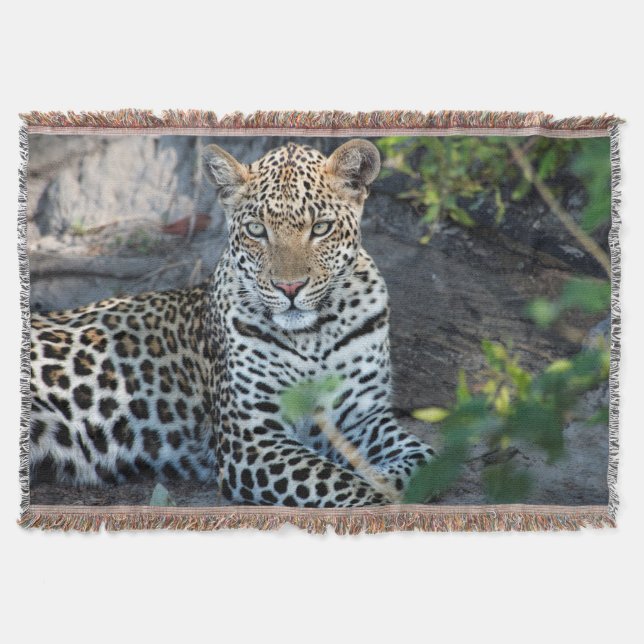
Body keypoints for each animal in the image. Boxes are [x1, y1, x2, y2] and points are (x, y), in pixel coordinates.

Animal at [28, 138, 435, 507]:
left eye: (321, 228)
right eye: (257, 230)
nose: (289, 287)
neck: (313, 336)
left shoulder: (364, 415)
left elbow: (422, 459)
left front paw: (389, 478)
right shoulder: (252, 441)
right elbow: (345, 484)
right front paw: (377, 491)